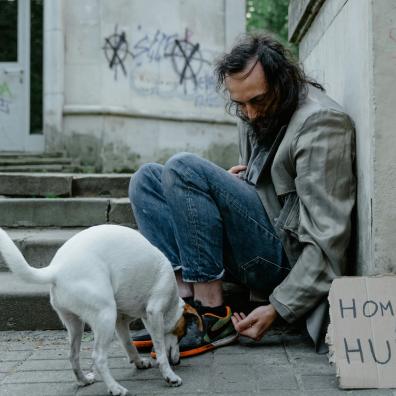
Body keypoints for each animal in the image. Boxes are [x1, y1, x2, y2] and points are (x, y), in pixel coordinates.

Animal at [0, 224, 198, 394]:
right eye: (181, 333)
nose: (178, 361)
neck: (172, 303)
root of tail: (57, 269)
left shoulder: (121, 321)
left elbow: (128, 344)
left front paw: (139, 362)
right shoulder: (154, 313)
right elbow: (161, 351)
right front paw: (170, 376)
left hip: (76, 324)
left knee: (73, 355)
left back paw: (83, 380)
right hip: (105, 316)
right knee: (98, 357)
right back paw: (115, 388)